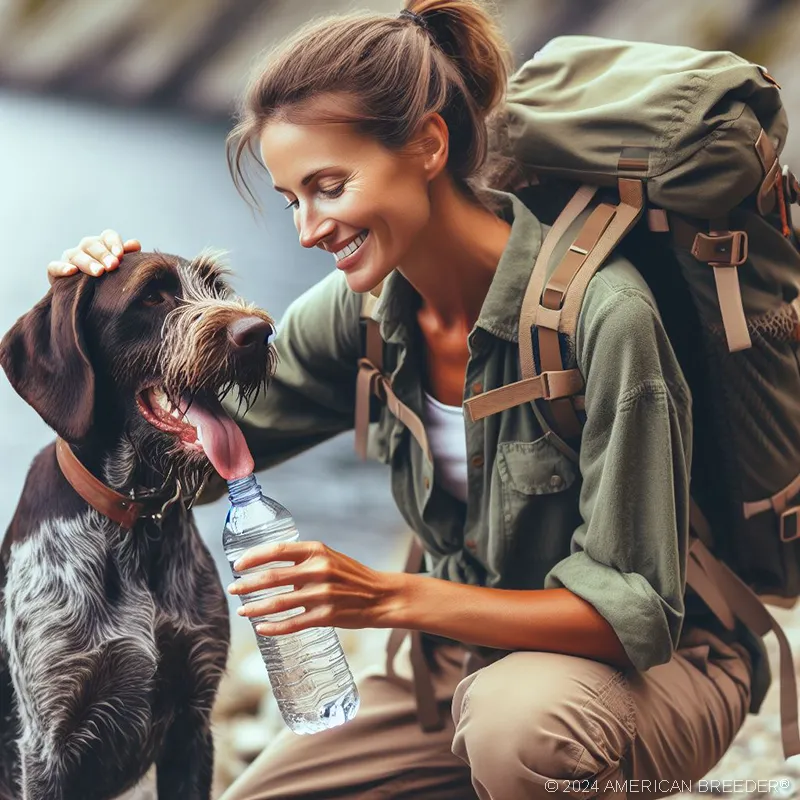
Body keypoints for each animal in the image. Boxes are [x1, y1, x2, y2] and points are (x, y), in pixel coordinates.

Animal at [0, 252, 276, 800]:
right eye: (151, 295)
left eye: (216, 288)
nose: (258, 333)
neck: (136, 522)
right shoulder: (44, 751)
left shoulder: (192, 723)